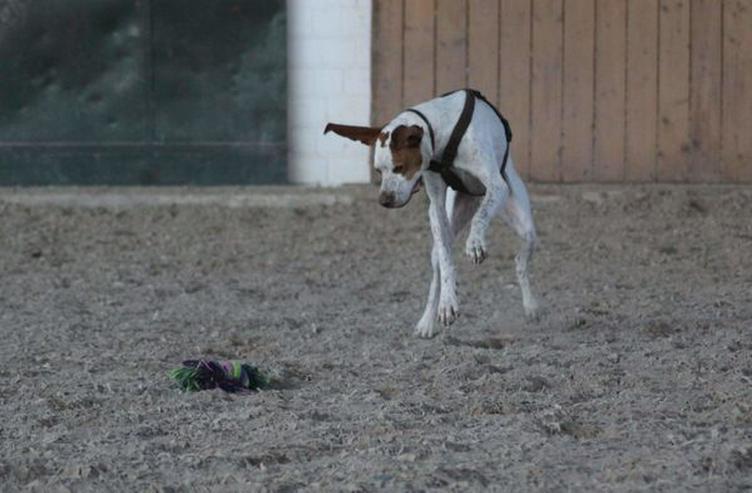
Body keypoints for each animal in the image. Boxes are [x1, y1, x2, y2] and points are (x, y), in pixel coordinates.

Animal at [324, 88, 540, 336]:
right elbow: (446, 262)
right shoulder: (436, 205)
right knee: (438, 270)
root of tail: (474, 195)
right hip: (448, 225)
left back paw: (530, 306)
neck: (444, 132)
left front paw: (475, 243)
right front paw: (447, 303)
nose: (384, 201)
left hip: (524, 225)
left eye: (399, 167)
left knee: (520, 261)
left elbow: (481, 217)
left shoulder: (496, 186)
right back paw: (427, 320)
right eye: (378, 171)